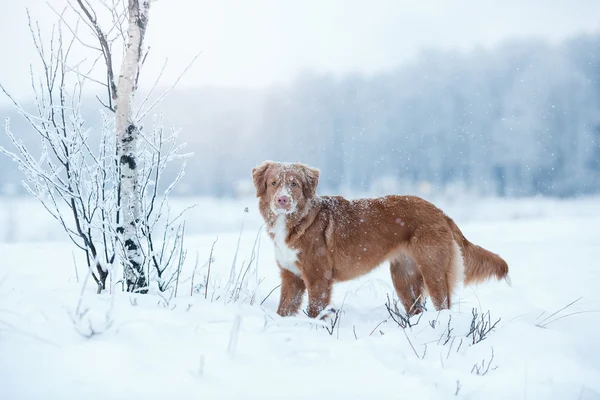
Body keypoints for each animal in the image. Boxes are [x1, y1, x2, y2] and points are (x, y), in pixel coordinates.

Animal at [251, 160, 508, 318]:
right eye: (274, 183)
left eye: (294, 184)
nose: (282, 200)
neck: (296, 221)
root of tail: (440, 212)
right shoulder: (291, 277)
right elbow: (284, 309)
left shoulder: (318, 278)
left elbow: (316, 311)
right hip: (404, 277)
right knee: (416, 309)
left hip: (433, 269)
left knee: (443, 305)